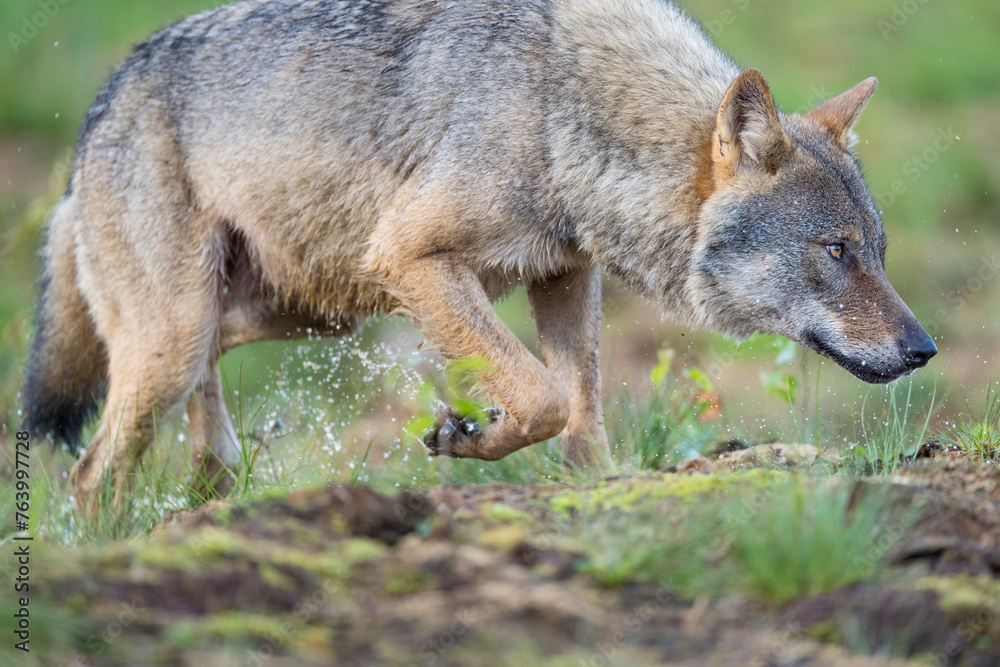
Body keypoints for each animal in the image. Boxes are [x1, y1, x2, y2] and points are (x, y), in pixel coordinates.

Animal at [23, 0, 936, 512]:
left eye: (876, 251)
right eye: (836, 249)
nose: (923, 349)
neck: (561, 108)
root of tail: (98, 108)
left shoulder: (566, 274)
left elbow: (582, 416)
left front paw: (587, 486)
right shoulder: (410, 258)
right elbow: (542, 397)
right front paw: (467, 436)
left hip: (286, 314)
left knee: (206, 458)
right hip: (184, 342)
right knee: (90, 474)